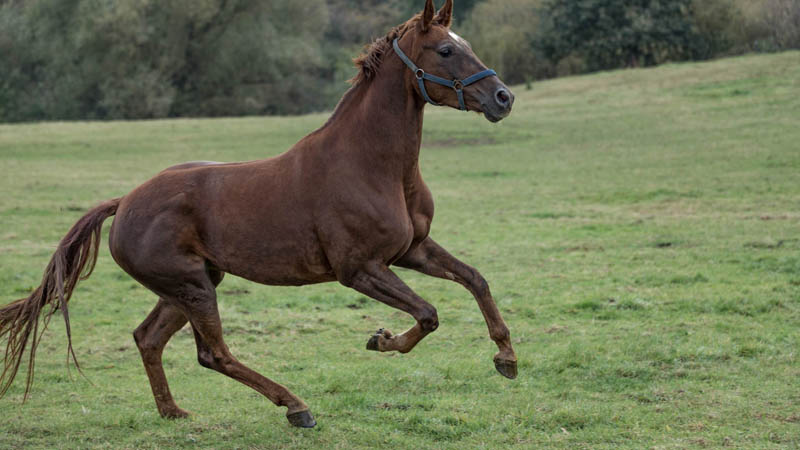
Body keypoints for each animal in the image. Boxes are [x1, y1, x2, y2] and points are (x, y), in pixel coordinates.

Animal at [0, 0, 516, 428]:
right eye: (446, 50)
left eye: (466, 45)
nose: (503, 98)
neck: (371, 164)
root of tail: (123, 202)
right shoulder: (359, 269)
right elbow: (428, 314)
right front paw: (381, 339)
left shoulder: (413, 249)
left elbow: (476, 279)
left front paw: (506, 358)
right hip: (193, 287)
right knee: (214, 354)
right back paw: (296, 407)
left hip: (189, 285)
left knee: (148, 338)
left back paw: (173, 412)